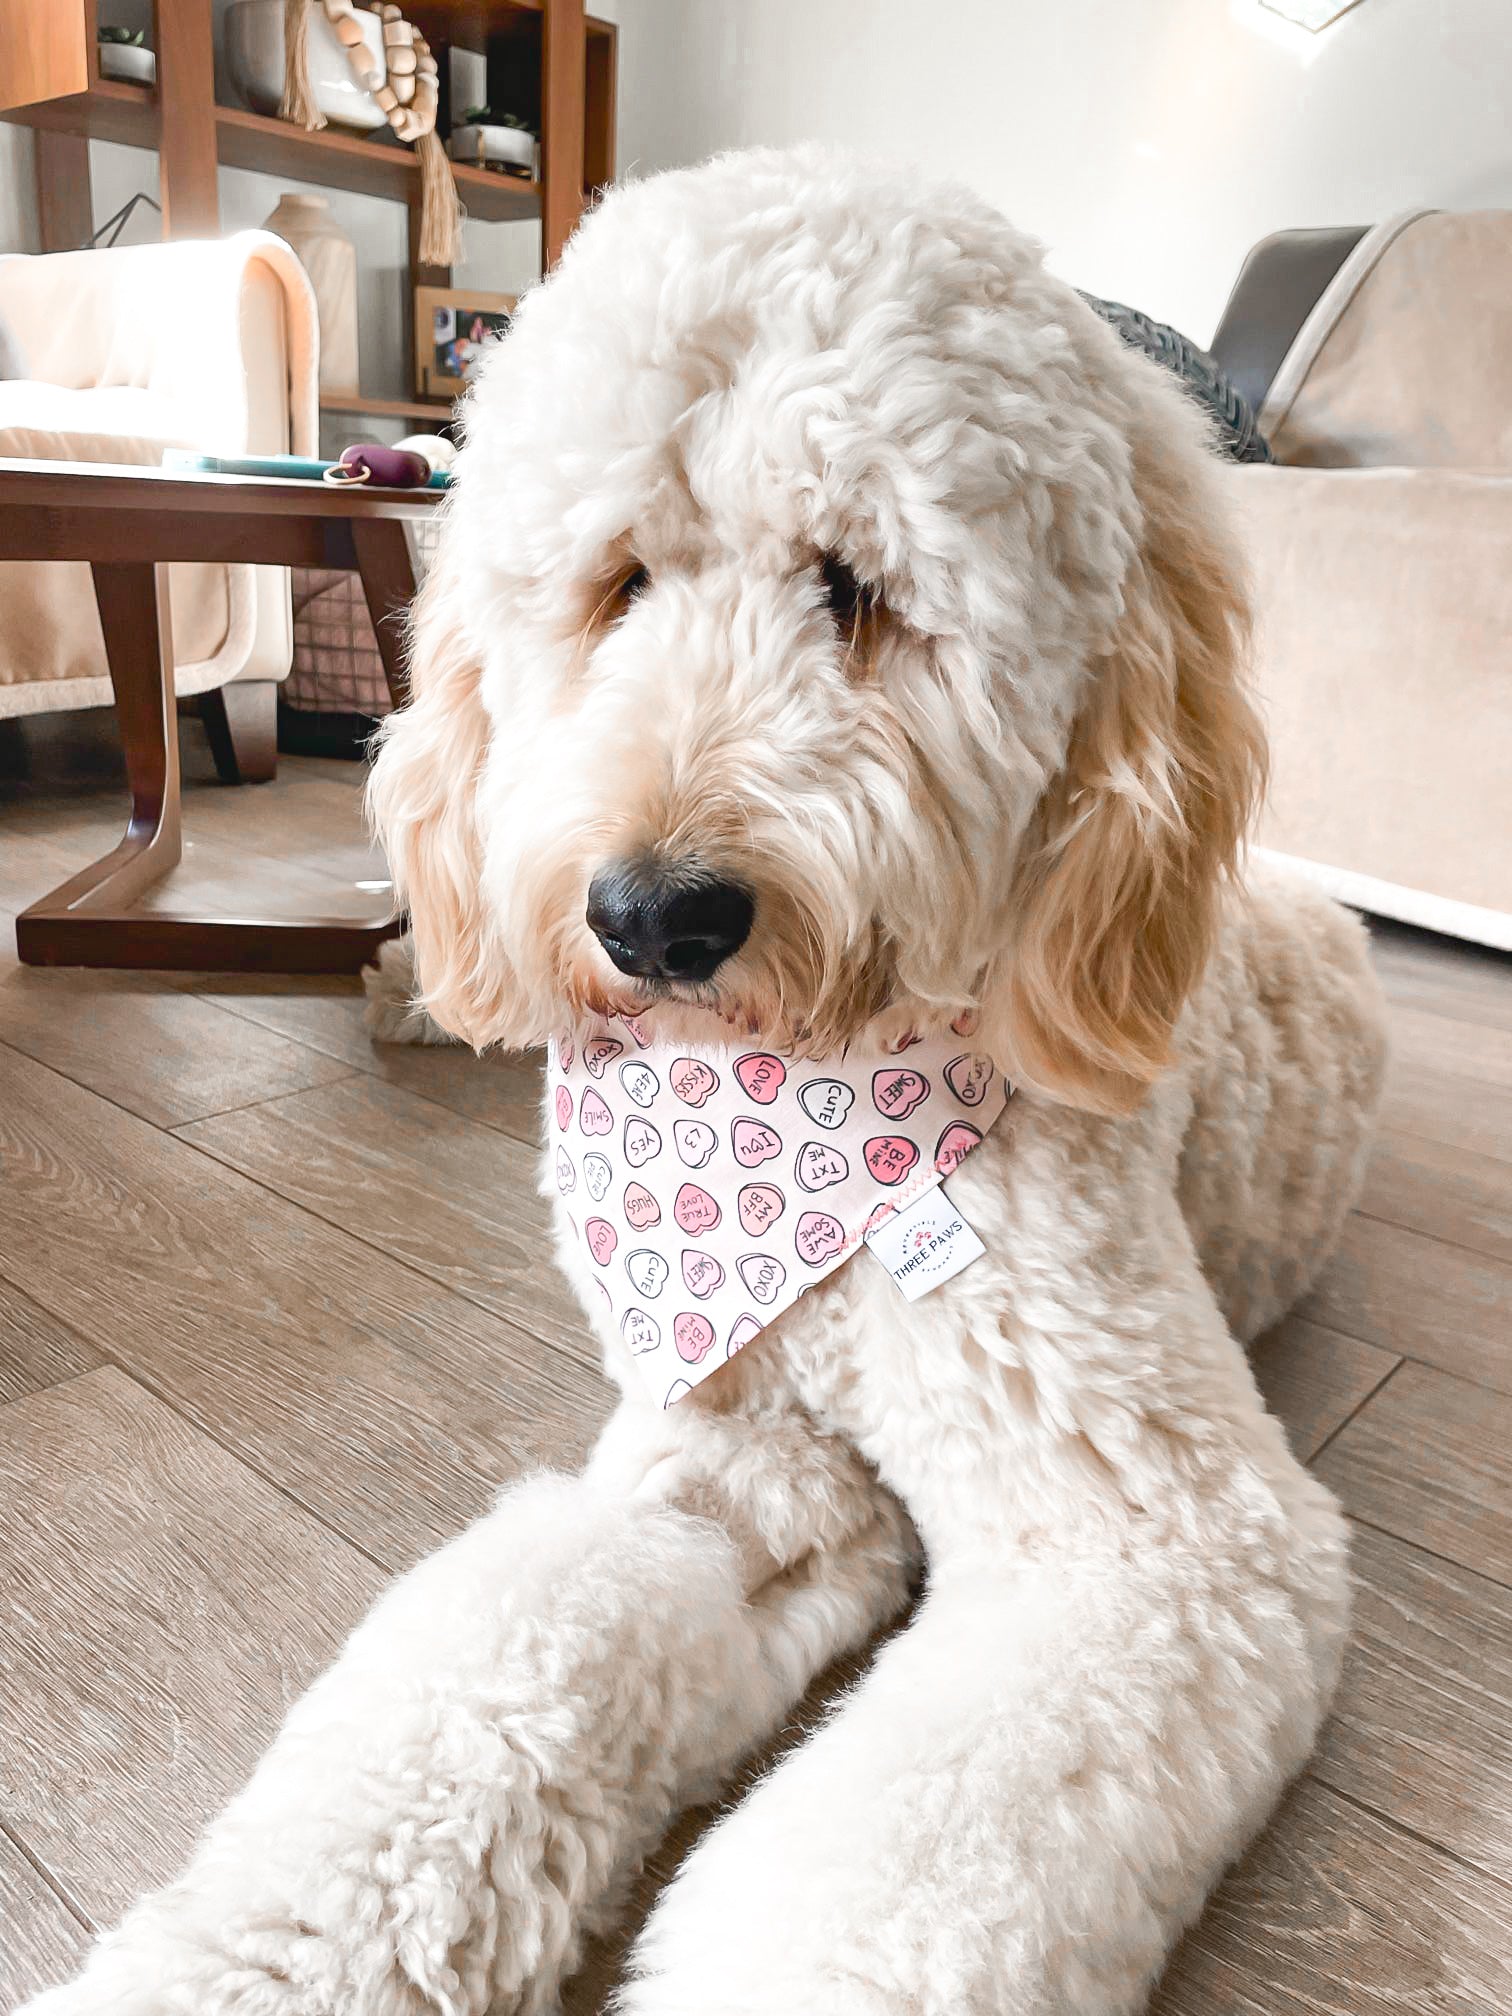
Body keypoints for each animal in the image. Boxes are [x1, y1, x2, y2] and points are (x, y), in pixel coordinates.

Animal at [26, 146, 1395, 2016]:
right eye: (618, 582)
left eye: (857, 587)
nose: (651, 917)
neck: (787, 1105)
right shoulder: (728, 1463)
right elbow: (483, 1678)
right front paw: (224, 1959)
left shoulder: (1156, 1543)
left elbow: (875, 1892)